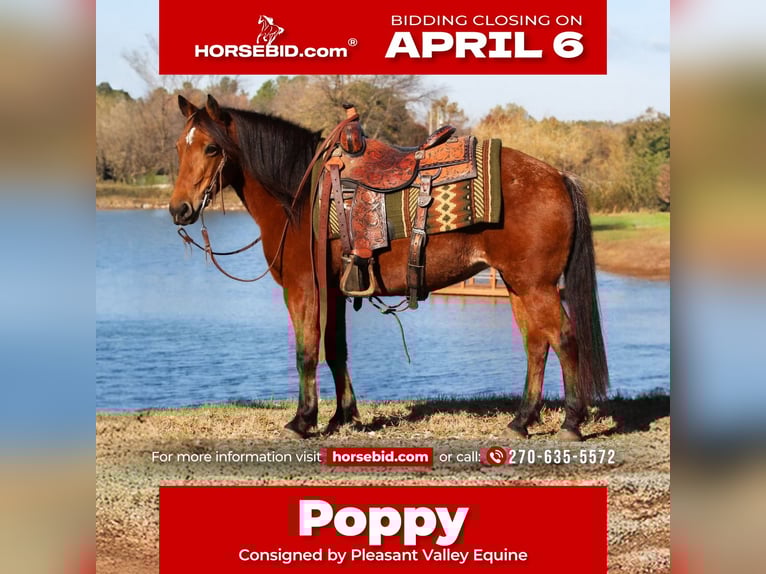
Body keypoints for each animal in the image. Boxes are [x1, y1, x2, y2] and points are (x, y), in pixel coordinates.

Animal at [169, 94, 609, 441]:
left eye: (211, 148)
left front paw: (302, 421)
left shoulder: (304, 288)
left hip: (537, 286)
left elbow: (306, 352)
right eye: (178, 147)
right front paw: (344, 417)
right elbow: (336, 350)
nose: (179, 210)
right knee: (537, 344)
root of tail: (559, 175)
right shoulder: (334, 291)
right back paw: (521, 421)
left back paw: (571, 423)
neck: (300, 196)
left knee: (564, 340)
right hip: (519, 286)